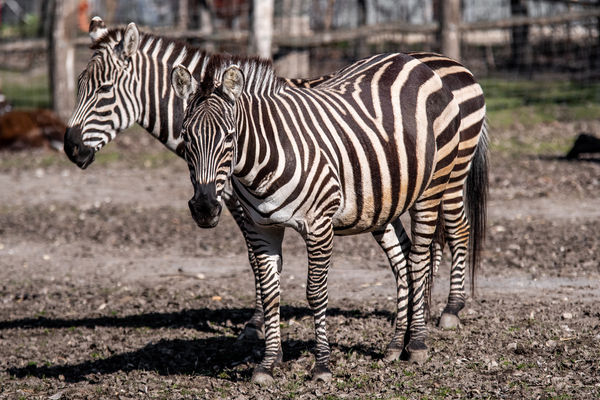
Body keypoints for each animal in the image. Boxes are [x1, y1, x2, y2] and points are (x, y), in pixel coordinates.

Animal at [172, 52, 488, 382]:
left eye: (230, 137)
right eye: (185, 136)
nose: (205, 208)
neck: (265, 158)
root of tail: (412, 61)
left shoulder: (318, 226)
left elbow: (315, 292)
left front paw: (321, 365)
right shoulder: (262, 229)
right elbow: (270, 292)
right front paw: (267, 364)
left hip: (437, 184)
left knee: (422, 259)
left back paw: (417, 343)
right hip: (383, 201)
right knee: (402, 260)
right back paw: (395, 345)